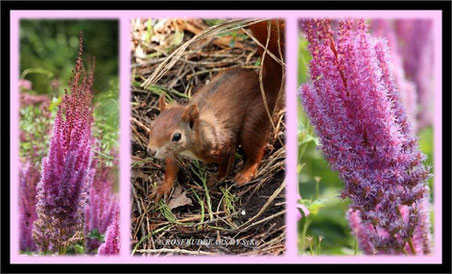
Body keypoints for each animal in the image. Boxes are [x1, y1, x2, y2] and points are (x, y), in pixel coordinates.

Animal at [147, 19, 284, 201]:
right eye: (152, 126)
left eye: (177, 136)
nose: (151, 151)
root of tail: (266, 86)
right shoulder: (174, 153)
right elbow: (171, 167)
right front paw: (163, 187)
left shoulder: (224, 144)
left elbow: (226, 163)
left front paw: (218, 177)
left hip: (254, 120)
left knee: (256, 150)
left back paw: (246, 172)